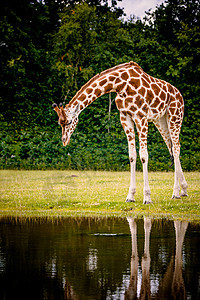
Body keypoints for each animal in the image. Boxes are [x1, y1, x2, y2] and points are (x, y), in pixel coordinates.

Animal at [52, 61, 188, 204]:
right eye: (60, 123)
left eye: (69, 122)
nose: (64, 140)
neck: (119, 84)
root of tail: (179, 94)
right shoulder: (125, 117)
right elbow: (132, 155)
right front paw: (130, 196)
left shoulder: (141, 117)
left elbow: (144, 155)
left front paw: (147, 197)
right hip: (160, 120)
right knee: (172, 148)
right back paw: (182, 191)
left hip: (175, 116)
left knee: (176, 148)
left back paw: (176, 192)